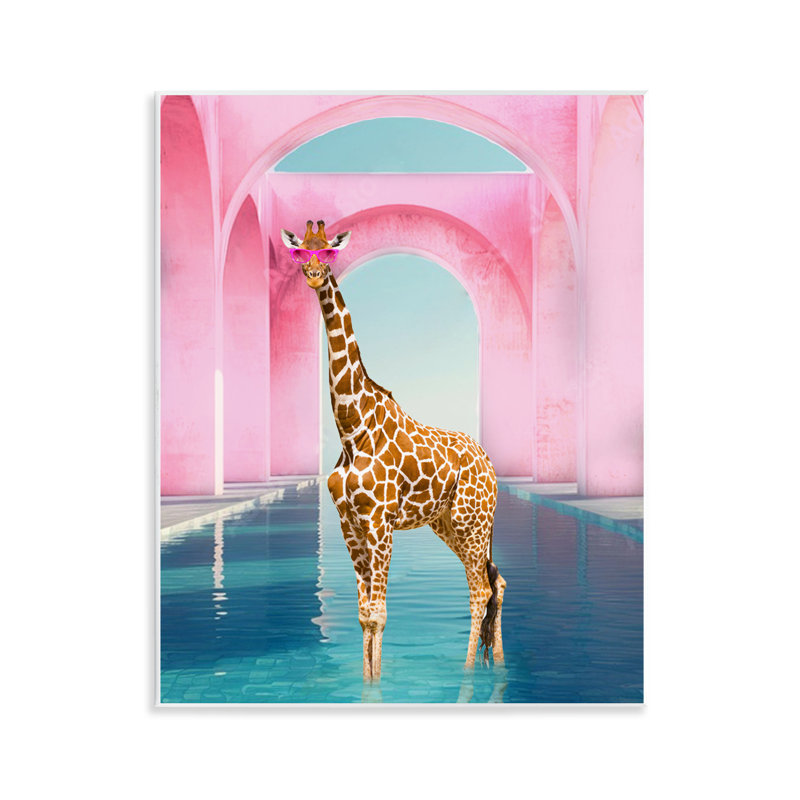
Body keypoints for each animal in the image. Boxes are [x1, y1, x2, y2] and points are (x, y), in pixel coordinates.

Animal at [281, 220, 507, 682]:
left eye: (328, 251)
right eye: (300, 252)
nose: (313, 274)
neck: (352, 427)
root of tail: (490, 465)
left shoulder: (379, 521)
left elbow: (379, 614)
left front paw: (377, 685)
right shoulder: (349, 523)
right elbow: (365, 614)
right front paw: (367, 682)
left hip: (472, 523)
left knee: (480, 589)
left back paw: (469, 672)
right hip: (449, 524)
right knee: (497, 581)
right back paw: (497, 664)